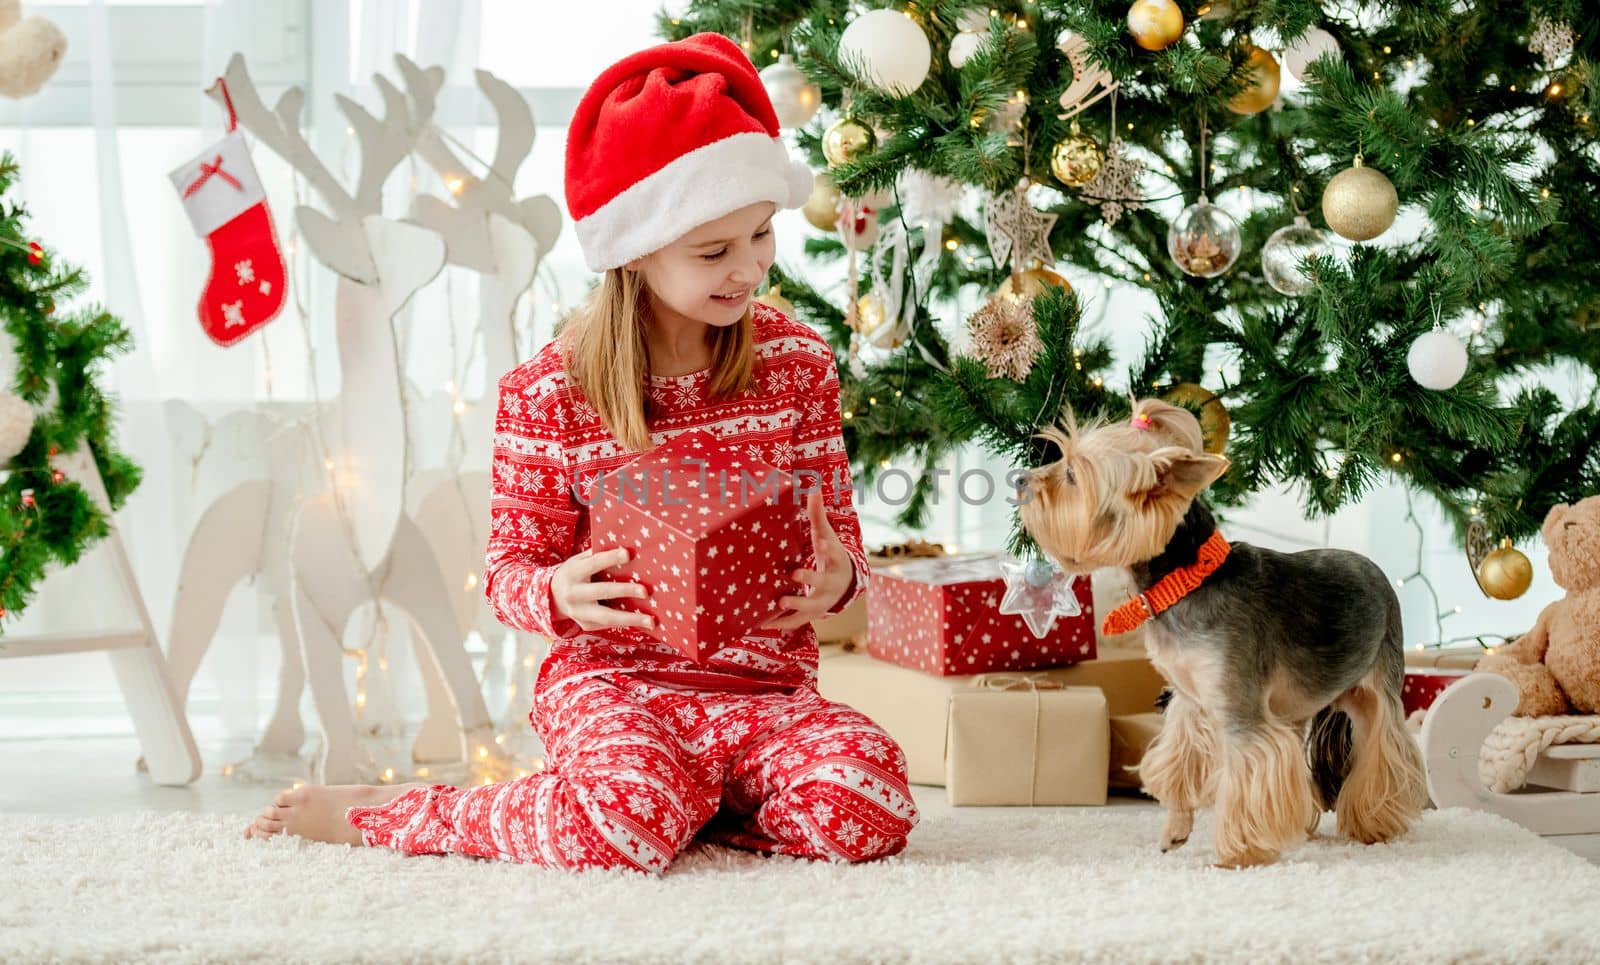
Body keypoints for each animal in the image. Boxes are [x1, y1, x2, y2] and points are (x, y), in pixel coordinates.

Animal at [1017, 400, 1420, 870]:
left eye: (1072, 475)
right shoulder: (1190, 702)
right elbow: (1178, 764)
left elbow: (1248, 775)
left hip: (1378, 678)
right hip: (1295, 705)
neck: (1187, 579)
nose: (1020, 479)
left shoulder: (1240, 710)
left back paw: (1376, 822)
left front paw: (1239, 854)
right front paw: (1175, 830)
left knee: (1383, 745)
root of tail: (1376, 569)